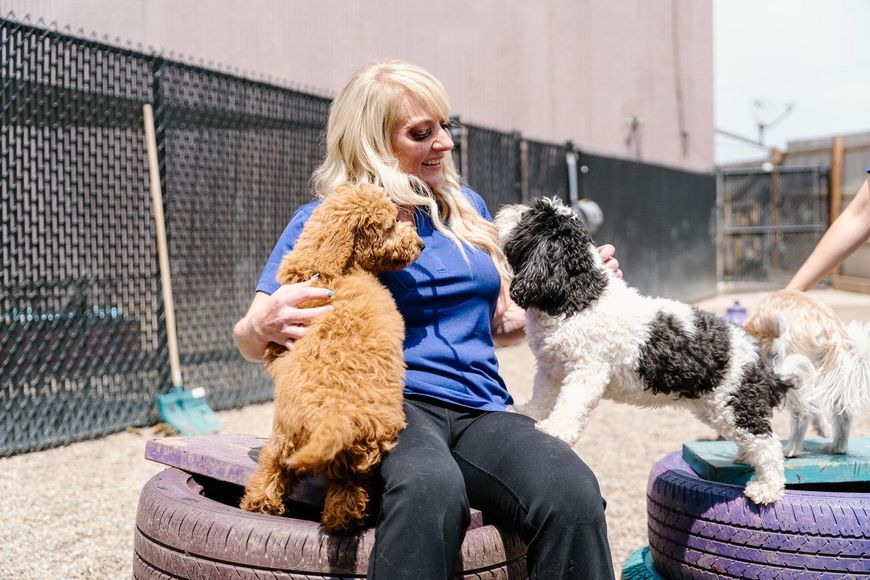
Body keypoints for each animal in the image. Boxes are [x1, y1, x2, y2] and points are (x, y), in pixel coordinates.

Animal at [242, 184, 426, 532]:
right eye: (390, 225)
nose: (421, 244)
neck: (334, 269)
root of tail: (336, 415)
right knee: (340, 486)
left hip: (297, 437)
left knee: (283, 467)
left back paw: (265, 505)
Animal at [494, 197, 792, 506]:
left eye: (529, 215)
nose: (508, 207)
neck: (578, 293)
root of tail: (756, 355)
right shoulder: (551, 367)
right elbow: (542, 396)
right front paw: (527, 412)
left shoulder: (586, 371)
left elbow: (570, 405)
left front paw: (557, 429)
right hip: (716, 408)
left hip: (735, 405)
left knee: (768, 445)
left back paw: (767, 488)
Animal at [744, 290, 870, 458]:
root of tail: (828, 325)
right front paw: (823, 428)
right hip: (829, 375)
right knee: (843, 414)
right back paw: (837, 447)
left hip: (791, 369)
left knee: (803, 414)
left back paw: (791, 449)